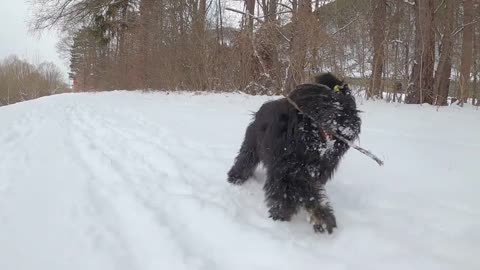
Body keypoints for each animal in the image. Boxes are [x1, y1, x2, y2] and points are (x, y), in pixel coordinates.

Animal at [228, 73, 360, 233]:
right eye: (326, 103)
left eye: (349, 107)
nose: (345, 123)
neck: (308, 143)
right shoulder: (284, 169)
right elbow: (289, 192)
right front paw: (281, 215)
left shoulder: (312, 172)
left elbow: (309, 192)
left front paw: (321, 216)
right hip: (251, 145)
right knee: (245, 160)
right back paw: (235, 178)